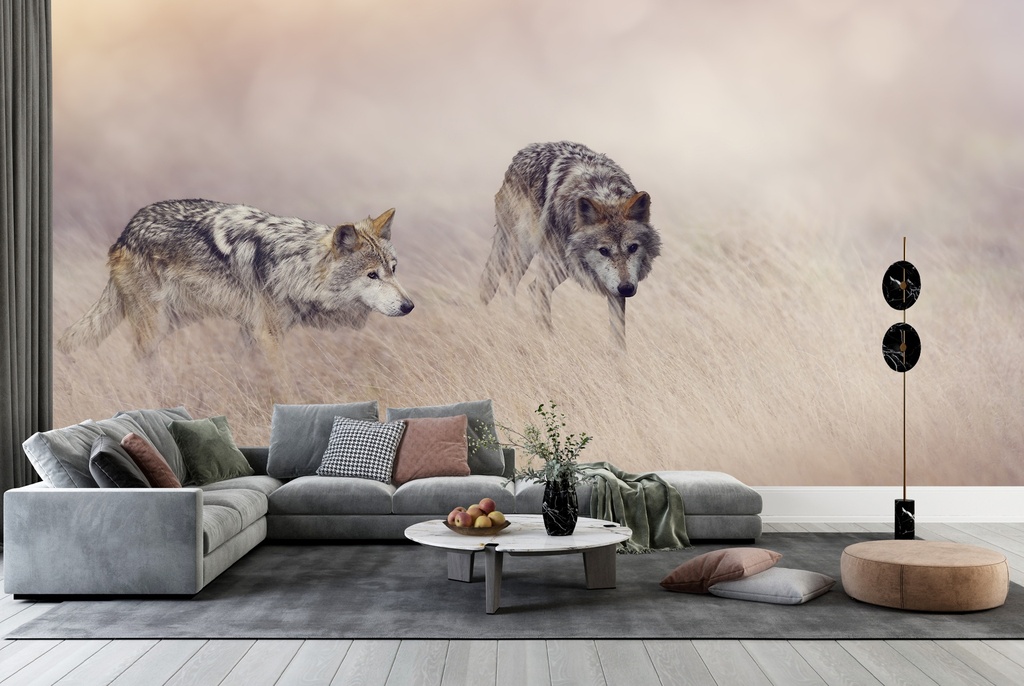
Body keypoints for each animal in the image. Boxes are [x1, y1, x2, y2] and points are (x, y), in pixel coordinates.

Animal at [58, 199, 414, 359]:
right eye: (372, 275)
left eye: (393, 269)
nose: (409, 306)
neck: (295, 264)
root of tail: (125, 232)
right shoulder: (268, 336)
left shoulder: (251, 333)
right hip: (155, 327)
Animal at [479, 141, 661, 347]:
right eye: (603, 251)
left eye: (633, 247)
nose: (627, 289)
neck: (602, 193)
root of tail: (521, 154)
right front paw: (548, 343)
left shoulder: (614, 288)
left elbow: (618, 334)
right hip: (529, 253)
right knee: (508, 285)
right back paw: (513, 327)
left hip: (559, 268)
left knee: (523, 286)